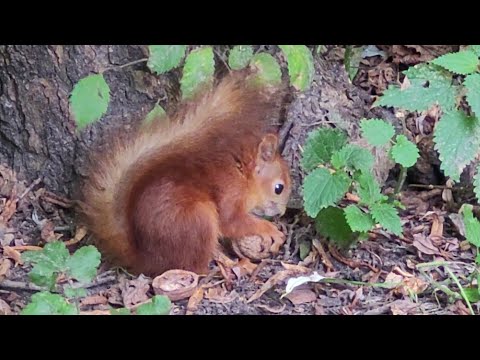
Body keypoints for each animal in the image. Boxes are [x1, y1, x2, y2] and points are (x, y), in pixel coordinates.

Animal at [77, 71, 290, 278]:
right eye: (279, 188)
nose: (281, 213)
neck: (242, 174)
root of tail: (146, 260)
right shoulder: (231, 192)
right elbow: (231, 221)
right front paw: (270, 230)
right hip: (199, 220)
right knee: (194, 268)